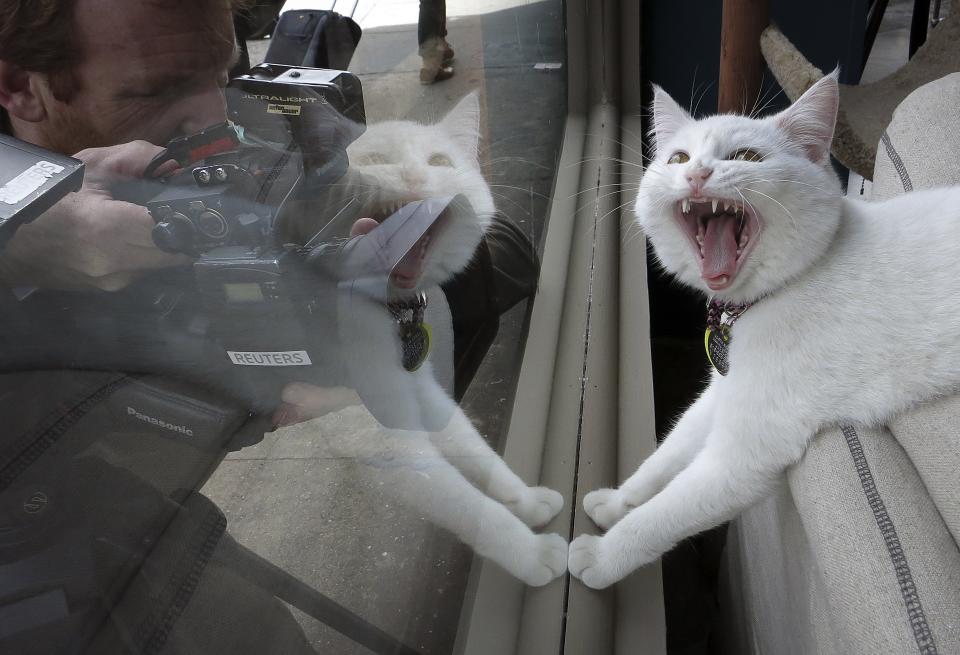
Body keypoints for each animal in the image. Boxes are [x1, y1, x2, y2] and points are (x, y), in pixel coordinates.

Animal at [312, 91, 568, 584]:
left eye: (439, 161)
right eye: (374, 160)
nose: (414, 177)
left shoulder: (422, 387)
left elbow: (476, 451)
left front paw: (526, 501)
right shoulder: (379, 439)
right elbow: (464, 505)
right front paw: (530, 553)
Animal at [568, 74, 960, 592]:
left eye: (746, 157)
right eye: (678, 159)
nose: (697, 175)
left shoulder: (745, 452)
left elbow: (667, 512)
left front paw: (602, 554)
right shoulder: (724, 390)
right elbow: (667, 453)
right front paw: (616, 501)